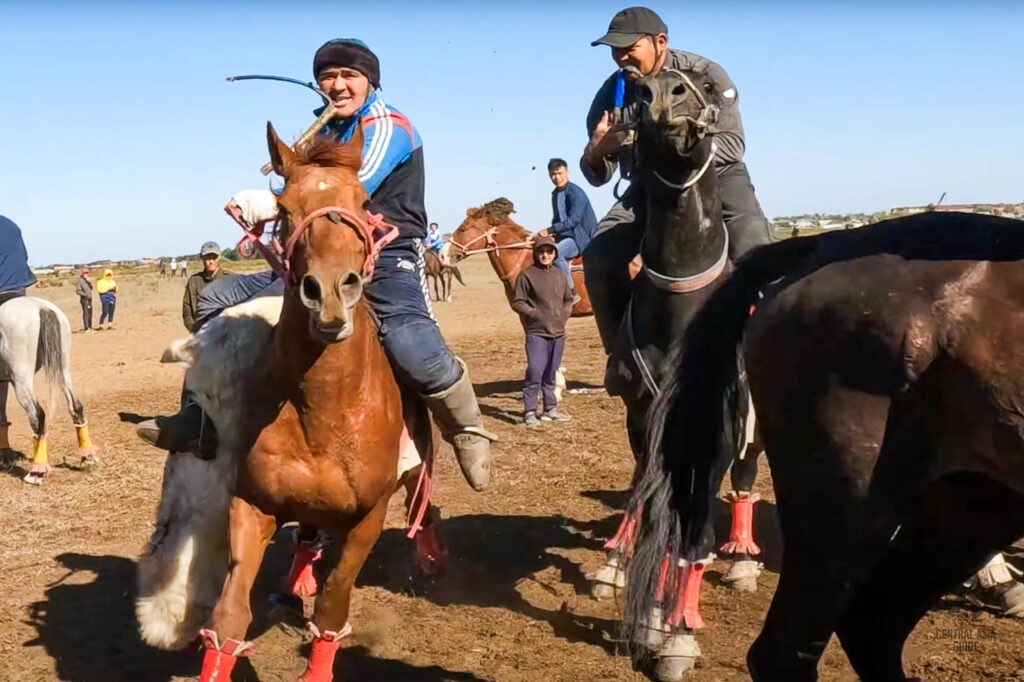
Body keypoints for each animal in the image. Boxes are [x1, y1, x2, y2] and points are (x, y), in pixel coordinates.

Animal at [0, 296, 97, 483]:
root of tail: (41, 307)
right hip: (63, 367)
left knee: (37, 415)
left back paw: (36, 472)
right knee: (76, 406)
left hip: (21, 378)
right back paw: (87, 457)